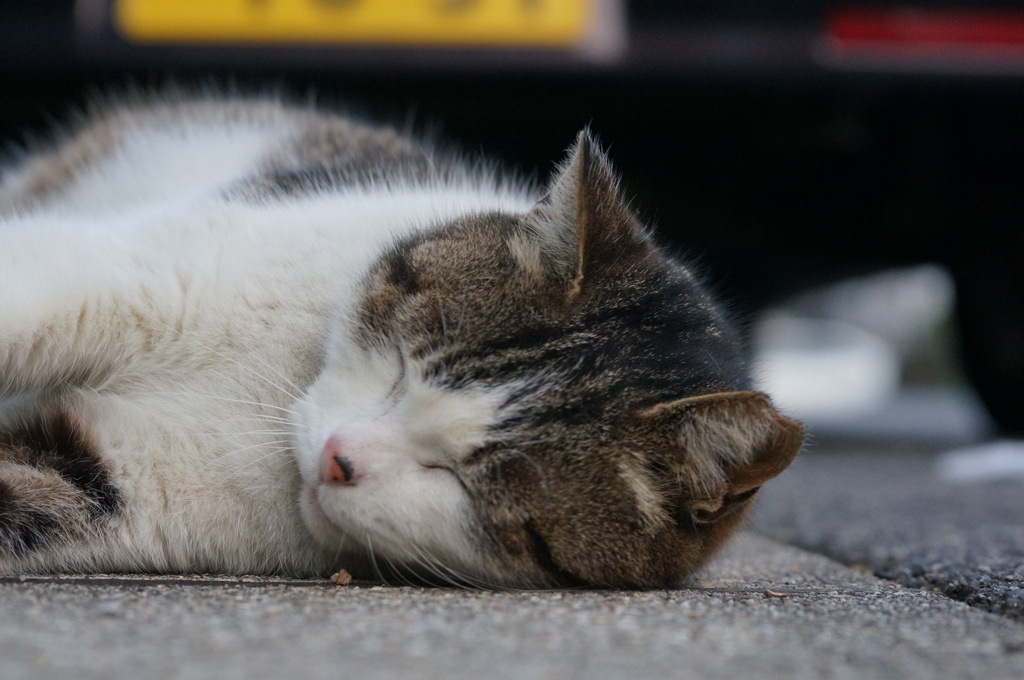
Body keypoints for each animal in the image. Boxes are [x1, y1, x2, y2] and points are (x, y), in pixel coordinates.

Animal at [0, 95, 802, 589]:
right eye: (401, 365)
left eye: (468, 484)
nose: (337, 458)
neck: (281, 387)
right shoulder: (146, 275)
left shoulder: (117, 475)